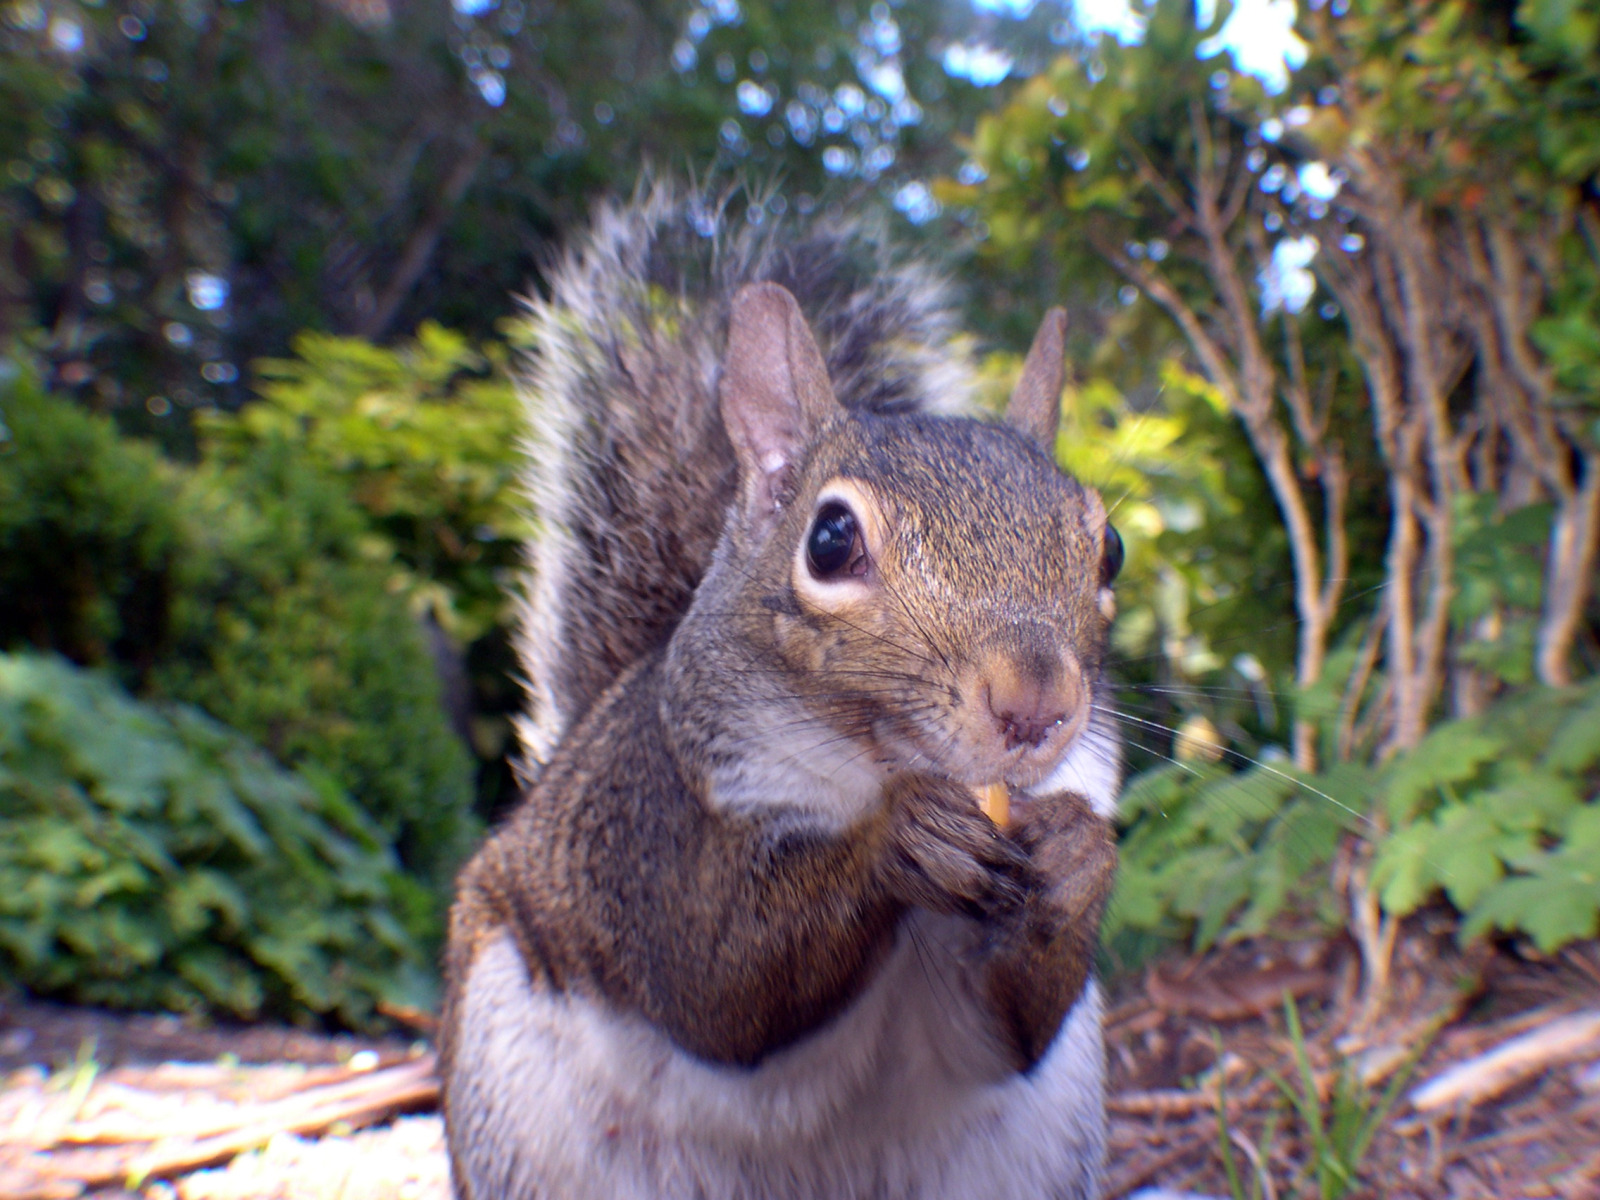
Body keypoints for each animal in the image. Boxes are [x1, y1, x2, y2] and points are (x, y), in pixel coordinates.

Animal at [441, 180, 1126, 1200]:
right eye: (831, 540)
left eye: (1109, 548)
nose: (1035, 705)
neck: (870, 760)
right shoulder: (658, 821)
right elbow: (721, 982)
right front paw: (898, 840)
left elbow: (1004, 1030)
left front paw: (1081, 858)